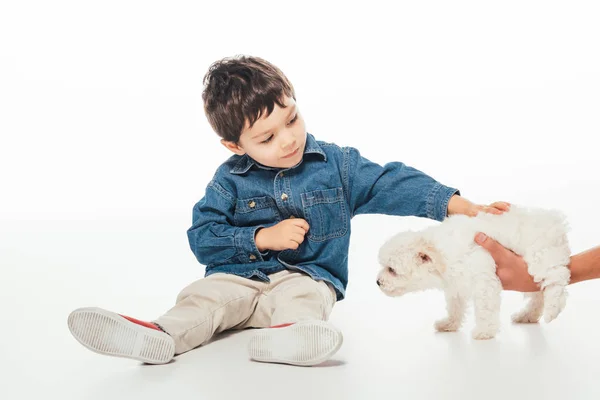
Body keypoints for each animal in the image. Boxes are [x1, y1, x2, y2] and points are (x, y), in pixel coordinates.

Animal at [378, 206, 568, 340]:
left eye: (391, 270)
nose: (378, 282)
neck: (441, 254)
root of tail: (555, 220)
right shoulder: (455, 285)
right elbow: (455, 307)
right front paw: (450, 323)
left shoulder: (483, 279)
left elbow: (485, 308)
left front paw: (484, 331)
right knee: (538, 296)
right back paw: (527, 315)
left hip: (541, 257)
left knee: (557, 279)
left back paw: (552, 310)